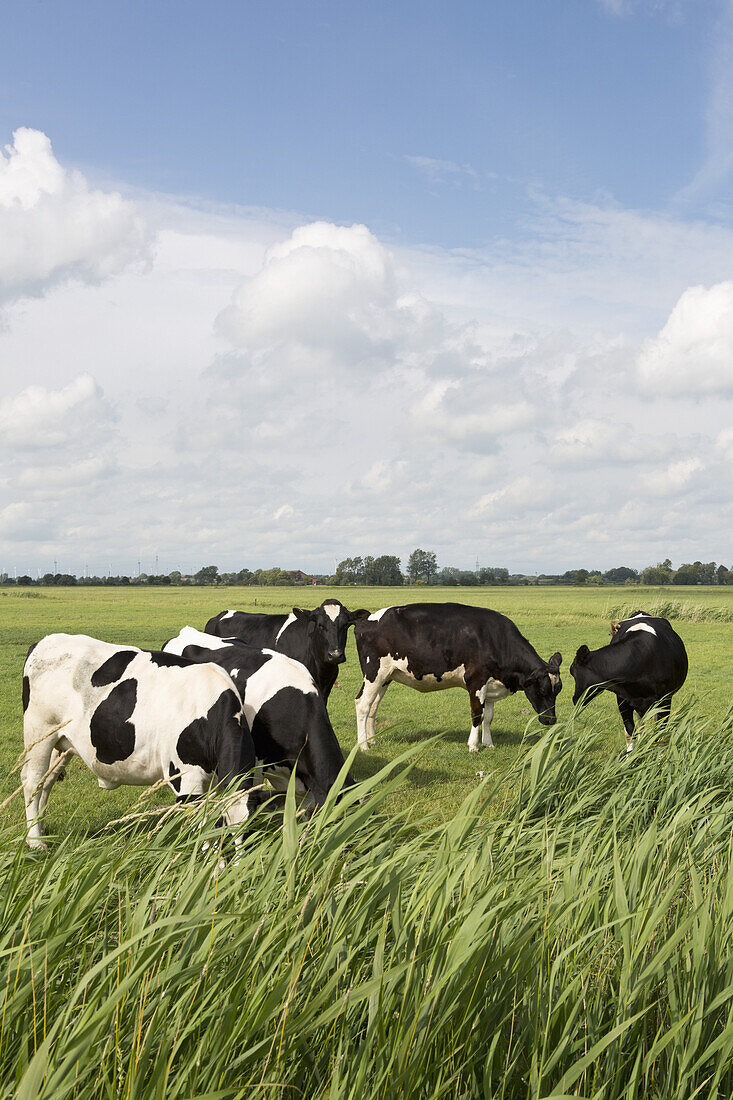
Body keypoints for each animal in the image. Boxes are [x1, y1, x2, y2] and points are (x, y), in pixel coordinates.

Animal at [21, 633, 255, 844]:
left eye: (250, 832)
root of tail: (44, 641)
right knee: (32, 782)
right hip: (38, 733)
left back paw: (41, 830)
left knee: (47, 782)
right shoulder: (184, 777)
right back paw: (35, 842)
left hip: (60, 742)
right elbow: (202, 827)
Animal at [352, 607, 561, 752]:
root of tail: (368, 618)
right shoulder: (476, 681)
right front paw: (473, 746)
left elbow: (489, 717)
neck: (497, 641)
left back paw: (372, 740)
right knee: (362, 705)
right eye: (542, 690)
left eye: (557, 690)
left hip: (386, 677)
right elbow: (477, 714)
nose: (551, 720)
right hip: (373, 674)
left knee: (373, 706)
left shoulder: (491, 685)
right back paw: (363, 746)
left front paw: (488, 743)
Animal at [563, 607, 686, 752]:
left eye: (572, 672)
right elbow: (630, 732)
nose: (575, 699)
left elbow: (660, 734)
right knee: (640, 725)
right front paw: (631, 756)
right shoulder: (622, 700)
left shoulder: (665, 699)